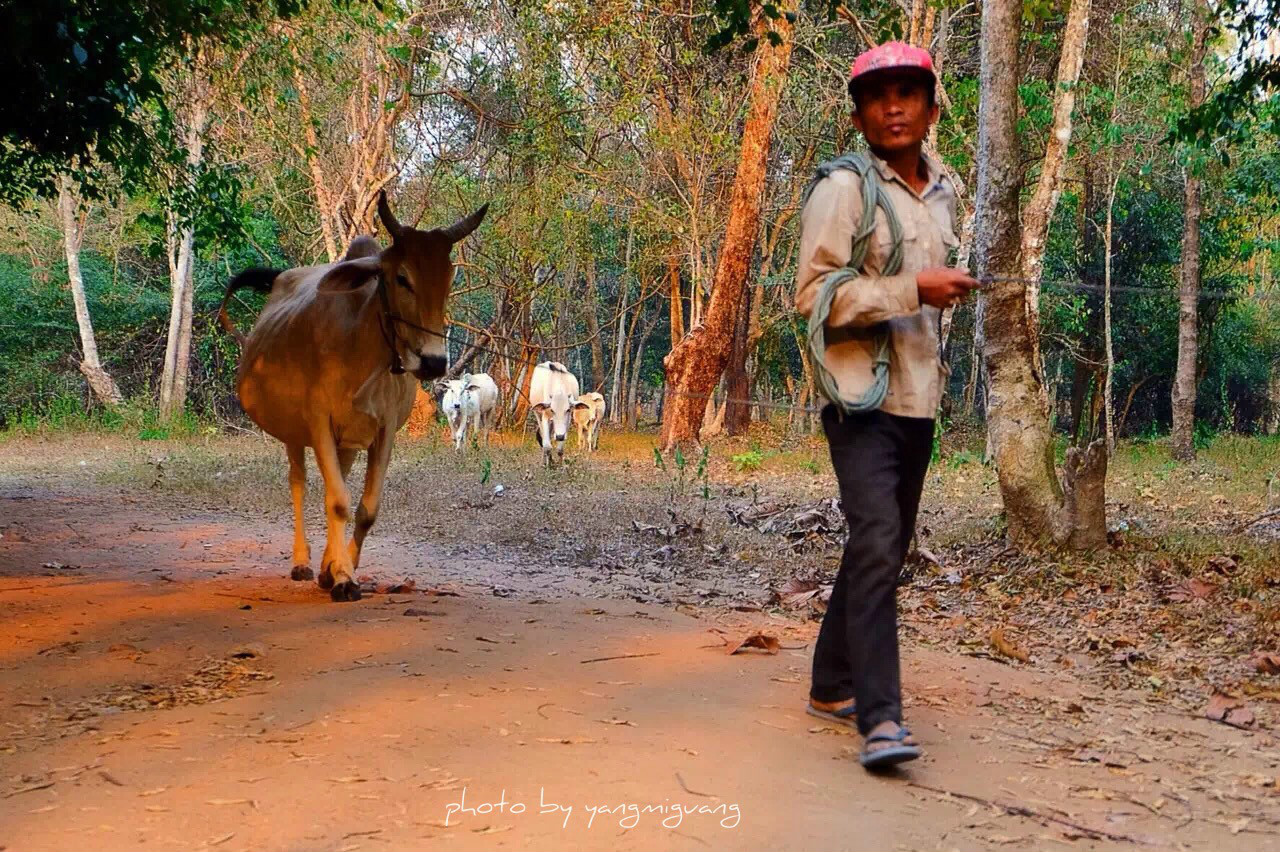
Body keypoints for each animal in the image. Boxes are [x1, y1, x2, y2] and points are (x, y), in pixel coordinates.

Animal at [218, 191, 483, 603]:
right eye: (401, 277)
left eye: (448, 279)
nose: (434, 361)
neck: (363, 350)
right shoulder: (318, 424)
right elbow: (338, 501)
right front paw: (342, 577)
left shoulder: (383, 432)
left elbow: (365, 508)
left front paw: (339, 568)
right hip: (294, 433)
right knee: (300, 483)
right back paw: (302, 561)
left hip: (346, 442)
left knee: (335, 481)